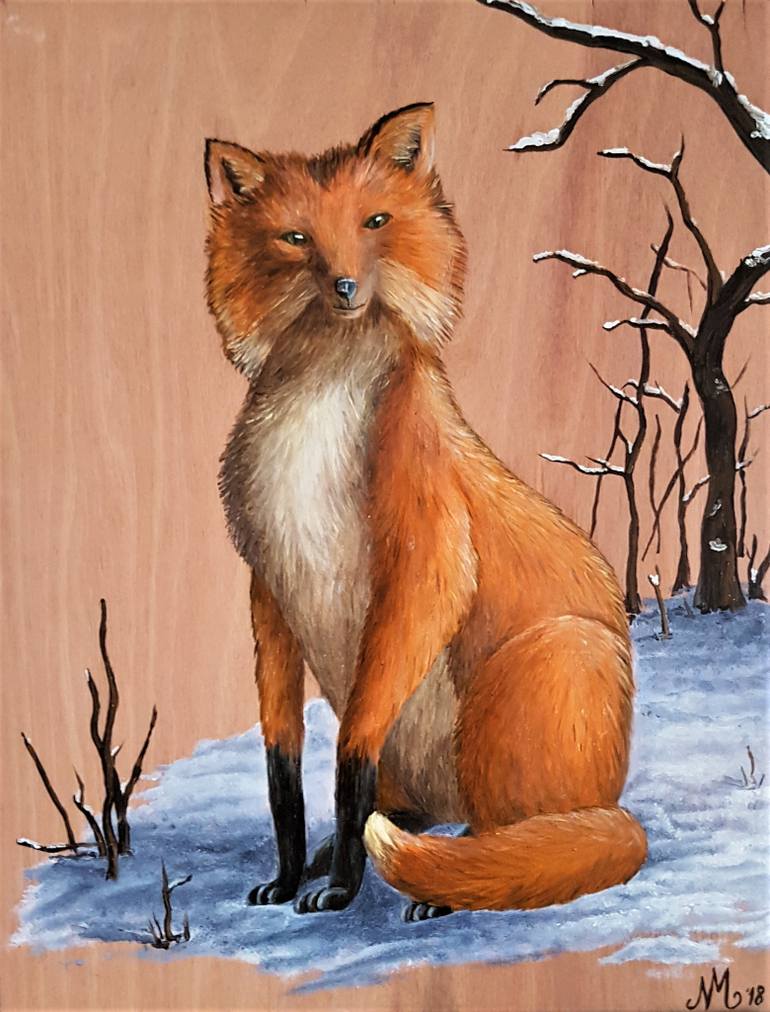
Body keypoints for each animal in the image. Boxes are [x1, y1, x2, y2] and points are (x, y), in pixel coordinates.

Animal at [204, 102, 647, 920]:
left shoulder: (427, 560)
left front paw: (345, 887)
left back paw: (442, 886)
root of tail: (615, 805)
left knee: (500, 834)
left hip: (534, 672)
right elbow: (283, 770)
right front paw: (290, 872)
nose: (346, 286)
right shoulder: (270, 583)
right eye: (296, 238)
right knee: (421, 815)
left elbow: (349, 759)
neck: (316, 417)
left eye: (374, 221)